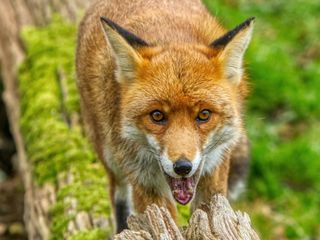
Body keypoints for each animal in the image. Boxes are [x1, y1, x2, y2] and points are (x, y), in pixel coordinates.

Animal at [76, 0, 254, 233]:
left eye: (204, 114)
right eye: (157, 115)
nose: (183, 167)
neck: (171, 35)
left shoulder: (216, 166)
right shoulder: (145, 180)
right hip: (110, 156)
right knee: (119, 195)